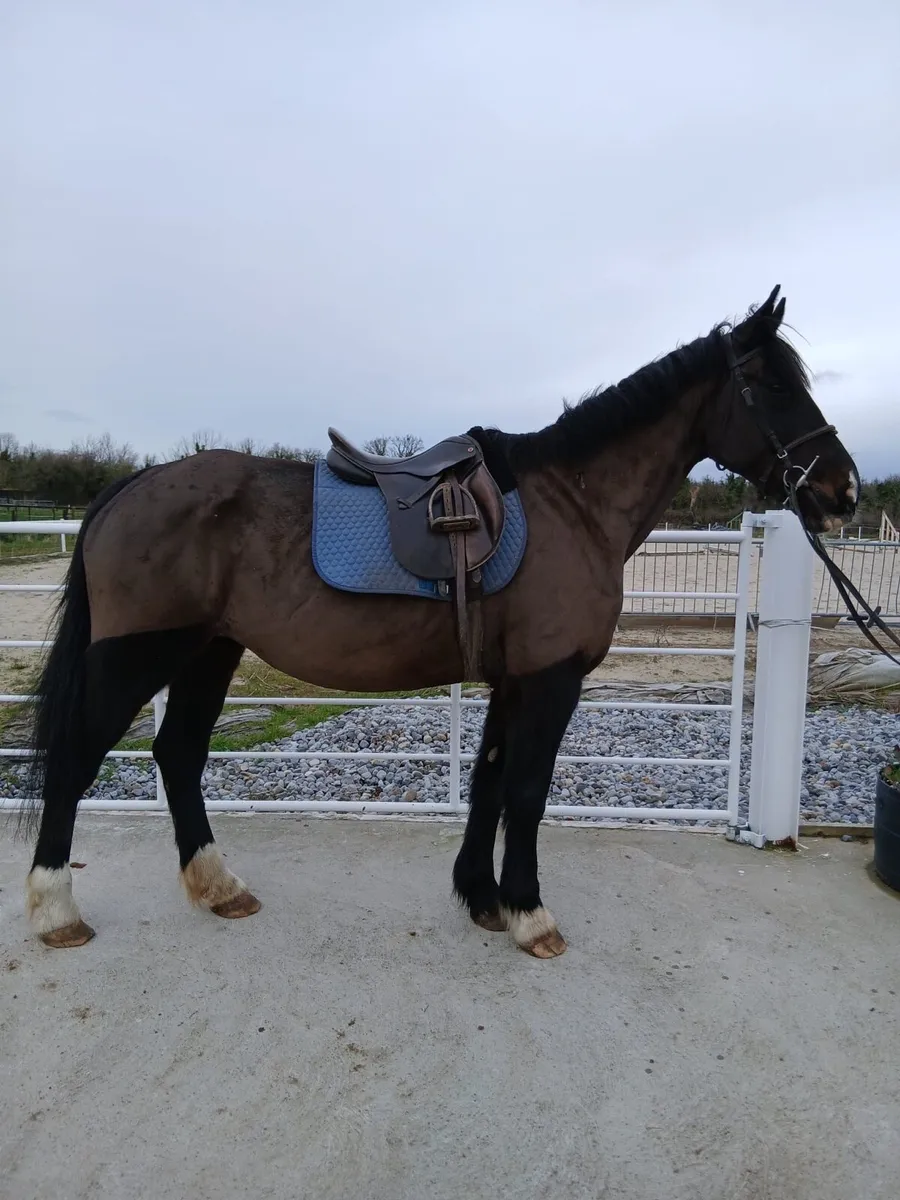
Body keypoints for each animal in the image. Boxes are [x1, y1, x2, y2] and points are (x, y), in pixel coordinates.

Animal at [20, 286, 858, 957]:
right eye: (769, 384)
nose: (843, 490)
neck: (574, 504)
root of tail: (133, 487)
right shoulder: (551, 679)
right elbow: (527, 790)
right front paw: (530, 914)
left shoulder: (514, 679)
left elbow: (489, 781)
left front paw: (483, 899)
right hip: (138, 655)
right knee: (77, 758)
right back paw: (55, 909)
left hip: (209, 652)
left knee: (178, 754)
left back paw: (218, 887)